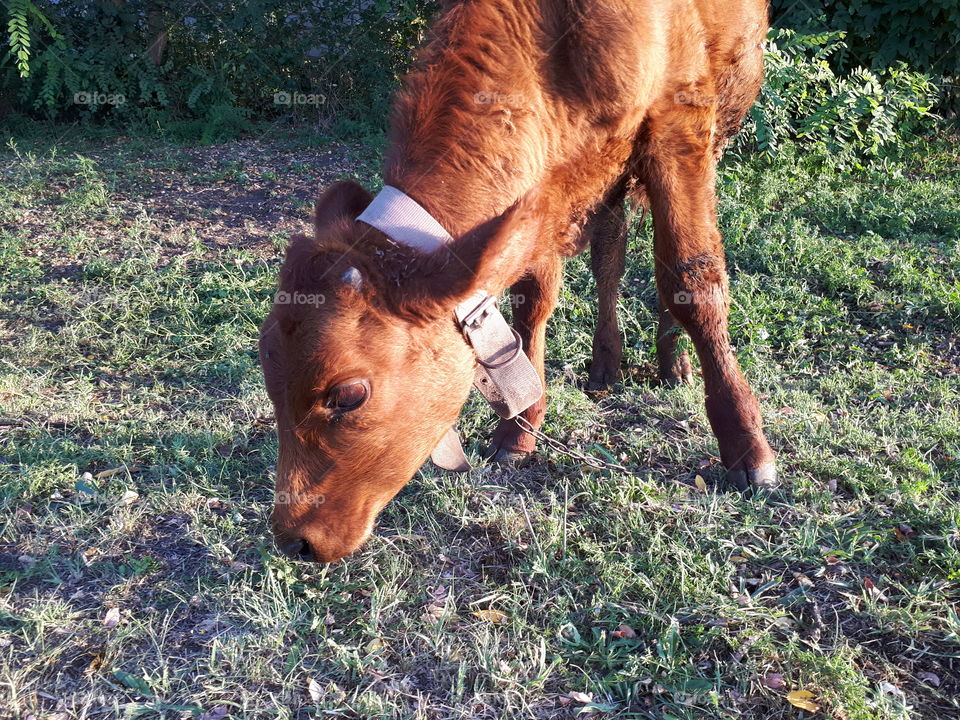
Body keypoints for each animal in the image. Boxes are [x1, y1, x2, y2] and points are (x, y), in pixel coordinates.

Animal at [262, 0, 780, 564]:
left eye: (349, 395)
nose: (295, 538)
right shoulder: (544, 187)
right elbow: (531, 301)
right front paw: (519, 430)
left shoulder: (677, 126)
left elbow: (692, 274)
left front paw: (747, 446)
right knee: (610, 248)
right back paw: (606, 362)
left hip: (720, 116)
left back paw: (674, 361)